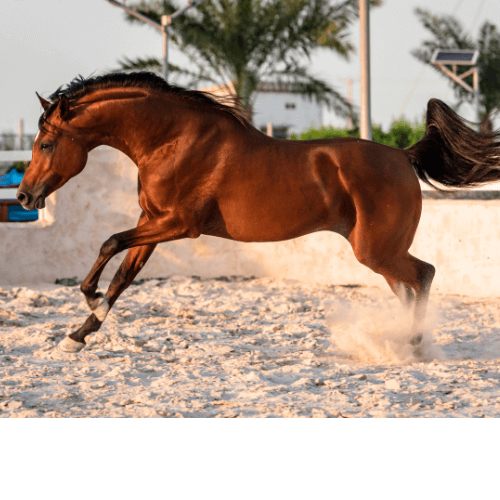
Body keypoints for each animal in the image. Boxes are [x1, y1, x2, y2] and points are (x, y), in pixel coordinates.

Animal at [16, 73, 500, 356]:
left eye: (46, 144)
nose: (23, 195)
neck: (171, 140)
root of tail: (404, 155)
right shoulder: (150, 224)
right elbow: (121, 276)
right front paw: (78, 334)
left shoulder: (178, 225)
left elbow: (109, 244)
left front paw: (87, 299)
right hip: (376, 251)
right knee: (408, 286)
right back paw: (405, 342)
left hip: (377, 250)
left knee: (423, 274)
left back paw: (414, 344)